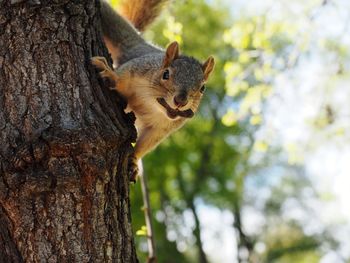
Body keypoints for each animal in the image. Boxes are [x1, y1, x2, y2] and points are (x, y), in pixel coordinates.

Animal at [91, 0, 215, 182]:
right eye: (166, 74)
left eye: (203, 88)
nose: (180, 101)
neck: (152, 103)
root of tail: (142, 45)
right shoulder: (137, 69)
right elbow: (121, 77)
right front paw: (111, 75)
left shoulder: (161, 129)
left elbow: (146, 143)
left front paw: (133, 160)